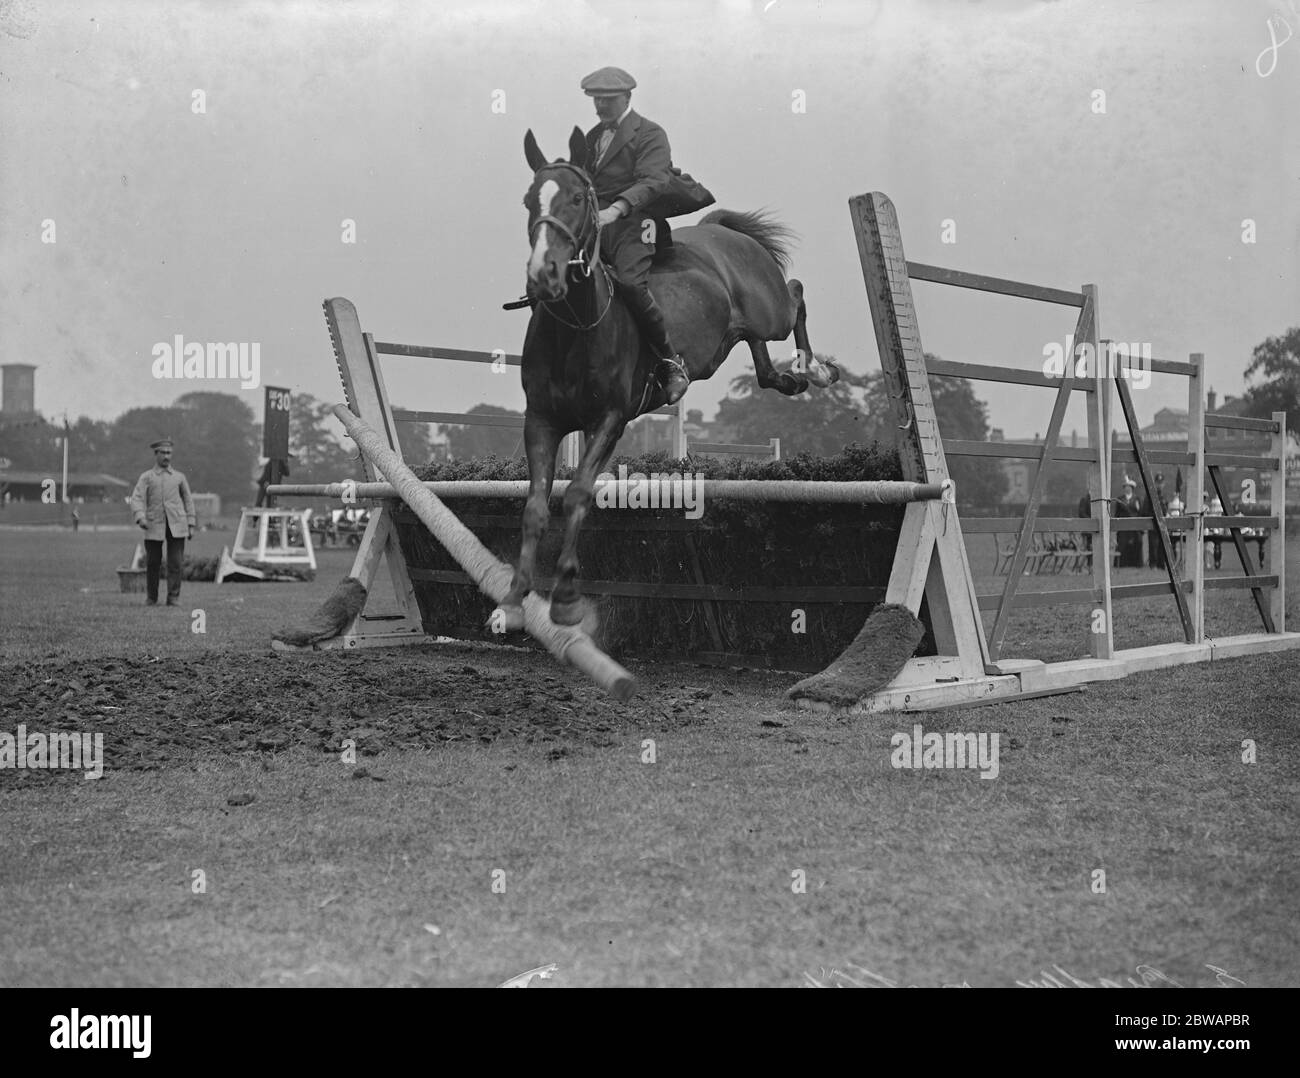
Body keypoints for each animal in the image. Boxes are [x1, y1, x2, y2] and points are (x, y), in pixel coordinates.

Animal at [491, 126, 837, 631]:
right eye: (527, 200)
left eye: (577, 198)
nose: (543, 275)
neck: (574, 327)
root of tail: (720, 228)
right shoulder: (541, 421)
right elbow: (535, 507)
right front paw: (514, 600)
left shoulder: (609, 419)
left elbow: (576, 494)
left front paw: (567, 597)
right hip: (734, 334)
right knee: (761, 360)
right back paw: (789, 379)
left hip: (768, 307)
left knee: (796, 295)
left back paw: (815, 369)